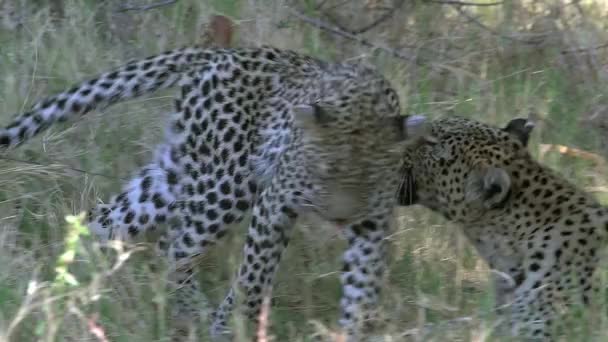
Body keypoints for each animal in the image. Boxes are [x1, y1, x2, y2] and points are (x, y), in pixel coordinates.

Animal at [1, 44, 428, 340]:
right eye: (324, 173)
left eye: (369, 179)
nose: (339, 219)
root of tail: (222, 53)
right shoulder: (277, 201)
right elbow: (254, 277)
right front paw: (231, 327)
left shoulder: (373, 222)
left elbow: (362, 288)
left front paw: (354, 330)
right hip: (226, 183)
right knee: (174, 246)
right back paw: (187, 312)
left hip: (172, 176)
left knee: (108, 223)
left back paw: (76, 288)